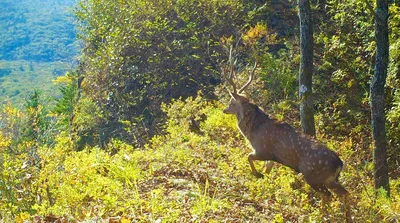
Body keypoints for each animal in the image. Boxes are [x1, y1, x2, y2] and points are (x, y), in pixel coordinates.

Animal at [220, 47, 348, 197]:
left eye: (231, 102)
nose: (224, 109)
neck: (253, 132)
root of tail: (339, 164)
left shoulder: (263, 150)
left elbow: (248, 156)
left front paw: (256, 174)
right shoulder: (271, 158)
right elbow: (267, 171)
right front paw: (264, 181)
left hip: (313, 176)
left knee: (328, 195)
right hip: (330, 180)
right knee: (345, 194)